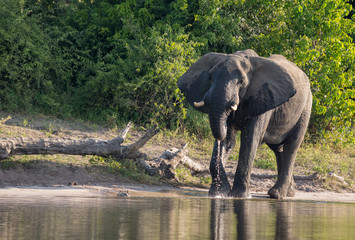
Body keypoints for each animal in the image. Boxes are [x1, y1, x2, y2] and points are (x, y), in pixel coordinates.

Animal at [177, 49, 312, 199]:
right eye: (210, 77)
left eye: (241, 82)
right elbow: (228, 140)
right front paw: (219, 193)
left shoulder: (262, 99)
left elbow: (250, 139)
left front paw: (239, 195)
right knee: (278, 149)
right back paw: (288, 192)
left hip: (305, 108)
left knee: (291, 146)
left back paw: (277, 194)